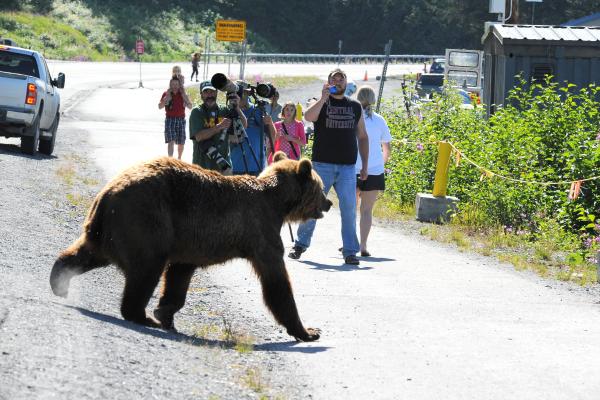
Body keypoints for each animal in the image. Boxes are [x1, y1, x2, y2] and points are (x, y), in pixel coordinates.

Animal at [50, 152, 332, 342]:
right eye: (320, 187)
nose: (329, 203)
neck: (278, 203)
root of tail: (107, 193)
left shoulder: (192, 240)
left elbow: (179, 274)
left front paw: (166, 312)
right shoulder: (261, 230)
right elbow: (276, 281)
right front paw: (309, 331)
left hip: (109, 230)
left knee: (85, 253)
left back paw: (59, 280)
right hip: (147, 220)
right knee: (146, 269)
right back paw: (141, 315)